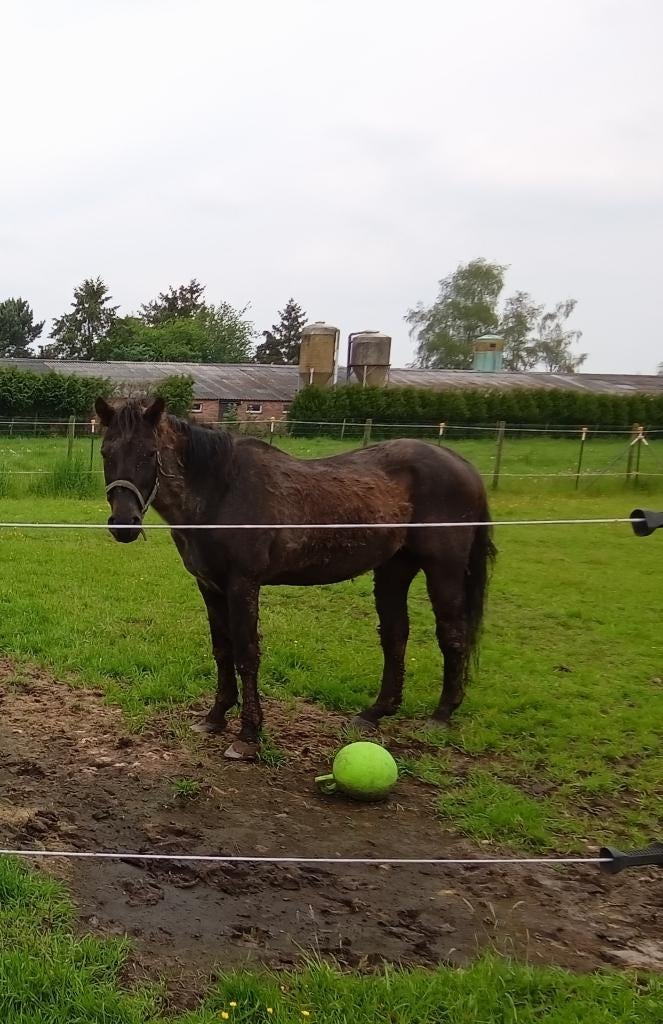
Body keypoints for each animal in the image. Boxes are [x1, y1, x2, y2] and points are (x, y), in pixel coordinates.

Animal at [95, 396, 496, 760]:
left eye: (149, 453)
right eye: (105, 453)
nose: (125, 524)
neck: (220, 492)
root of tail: (464, 467)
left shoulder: (243, 584)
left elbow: (246, 653)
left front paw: (249, 735)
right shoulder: (210, 586)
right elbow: (222, 650)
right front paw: (215, 717)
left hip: (443, 569)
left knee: (452, 635)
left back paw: (441, 716)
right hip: (394, 570)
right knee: (395, 636)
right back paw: (374, 713)